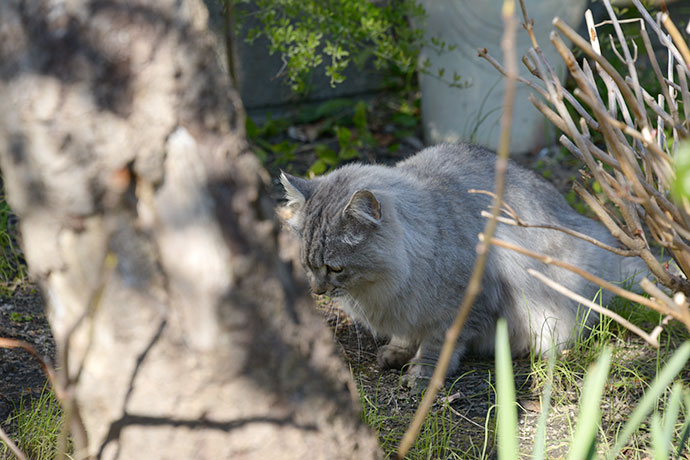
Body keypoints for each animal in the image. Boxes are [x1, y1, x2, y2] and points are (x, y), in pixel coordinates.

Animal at [278, 142, 640, 386]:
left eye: (335, 268)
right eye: (308, 265)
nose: (317, 290)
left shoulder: (465, 305)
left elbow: (438, 345)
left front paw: (422, 374)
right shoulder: (407, 308)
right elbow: (406, 334)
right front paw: (397, 352)